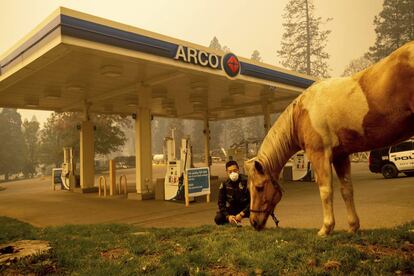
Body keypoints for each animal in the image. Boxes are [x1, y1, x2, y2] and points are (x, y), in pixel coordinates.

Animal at [244, 40, 414, 236]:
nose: (254, 222)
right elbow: (346, 189)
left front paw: (326, 228)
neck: (302, 113)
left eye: (259, 187)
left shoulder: (319, 154)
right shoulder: (341, 156)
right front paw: (353, 226)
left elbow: (325, 191)